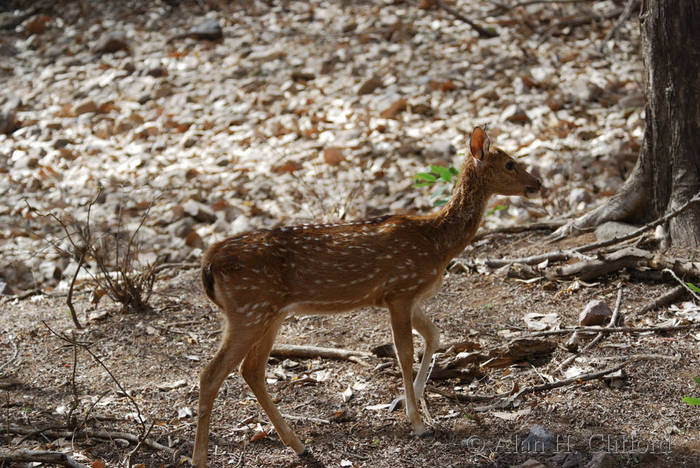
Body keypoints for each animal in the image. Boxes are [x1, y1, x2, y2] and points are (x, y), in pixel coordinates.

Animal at [191, 126, 540, 466]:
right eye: (510, 163)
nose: (537, 183)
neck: (437, 243)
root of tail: (209, 264)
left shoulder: (406, 296)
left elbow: (434, 336)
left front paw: (407, 404)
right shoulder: (400, 290)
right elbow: (404, 353)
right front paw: (418, 424)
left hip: (269, 314)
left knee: (251, 369)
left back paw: (298, 445)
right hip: (248, 309)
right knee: (211, 374)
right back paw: (200, 459)